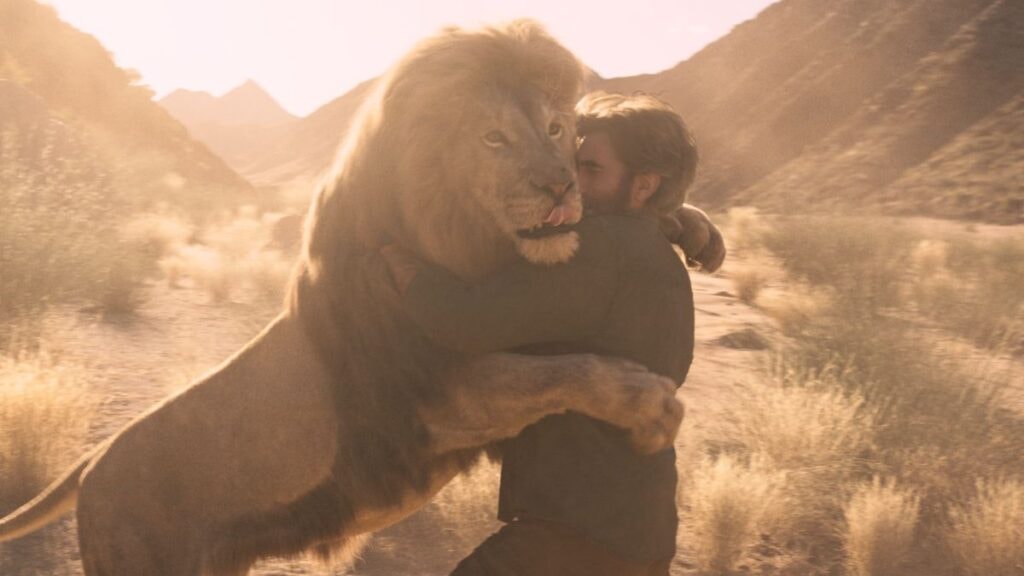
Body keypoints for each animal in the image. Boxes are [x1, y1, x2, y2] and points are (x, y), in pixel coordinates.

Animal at [0, 21, 684, 575]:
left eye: (555, 128)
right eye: (493, 139)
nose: (562, 186)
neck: (459, 242)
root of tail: (91, 464)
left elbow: (550, 367)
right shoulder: (437, 396)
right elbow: (556, 373)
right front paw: (647, 402)